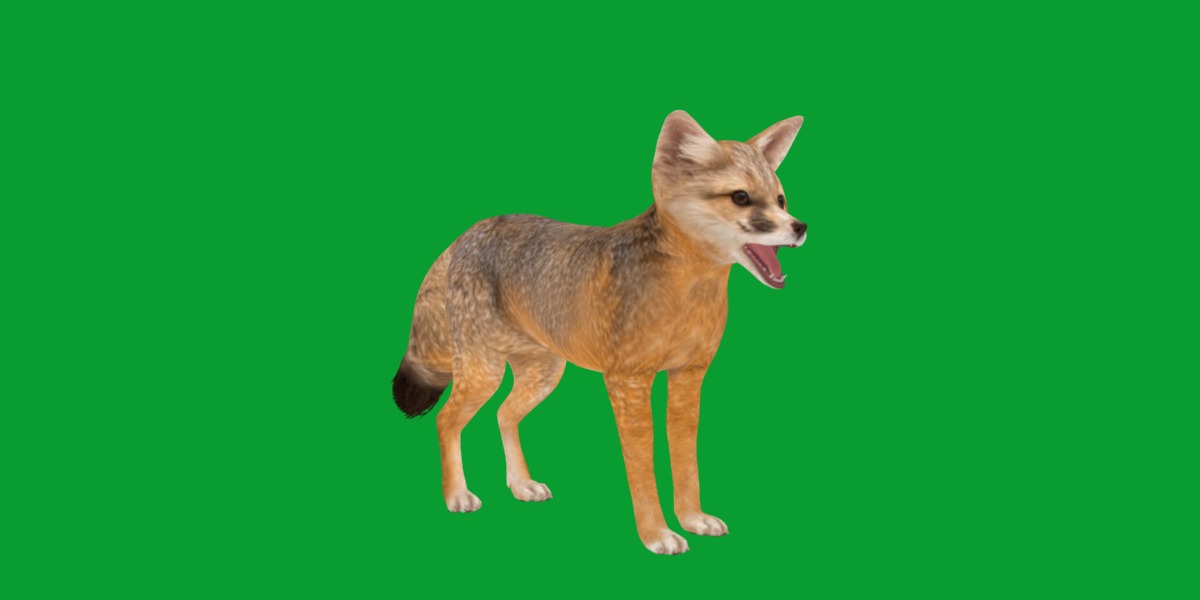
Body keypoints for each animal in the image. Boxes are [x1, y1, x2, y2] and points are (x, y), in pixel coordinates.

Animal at [392, 110, 807, 554]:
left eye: (780, 200)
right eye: (741, 198)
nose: (800, 227)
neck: (688, 295)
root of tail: (472, 230)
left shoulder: (689, 377)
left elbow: (685, 459)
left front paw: (692, 518)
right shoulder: (628, 381)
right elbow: (642, 463)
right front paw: (656, 533)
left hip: (543, 376)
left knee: (503, 414)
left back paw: (521, 484)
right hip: (483, 373)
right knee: (447, 420)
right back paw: (456, 494)